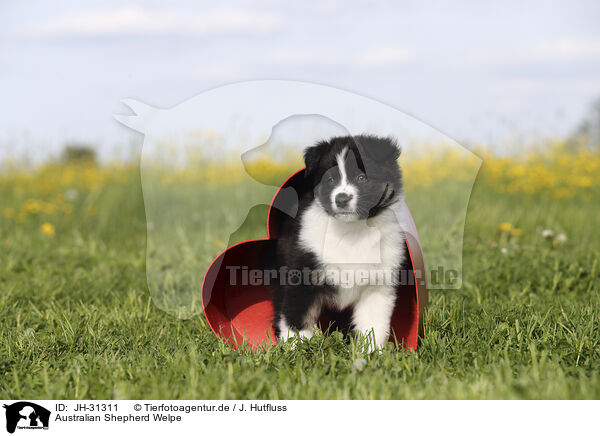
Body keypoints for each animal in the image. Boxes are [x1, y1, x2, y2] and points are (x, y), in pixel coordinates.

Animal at [270, 134, 408, 350]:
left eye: (362, 178)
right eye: (330, 179)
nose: (341, 199)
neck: (351, 230)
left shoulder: (378, 284)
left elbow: (373, 325)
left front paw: (371, 353)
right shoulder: (303, 271)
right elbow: (298, 317)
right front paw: (296, 349)